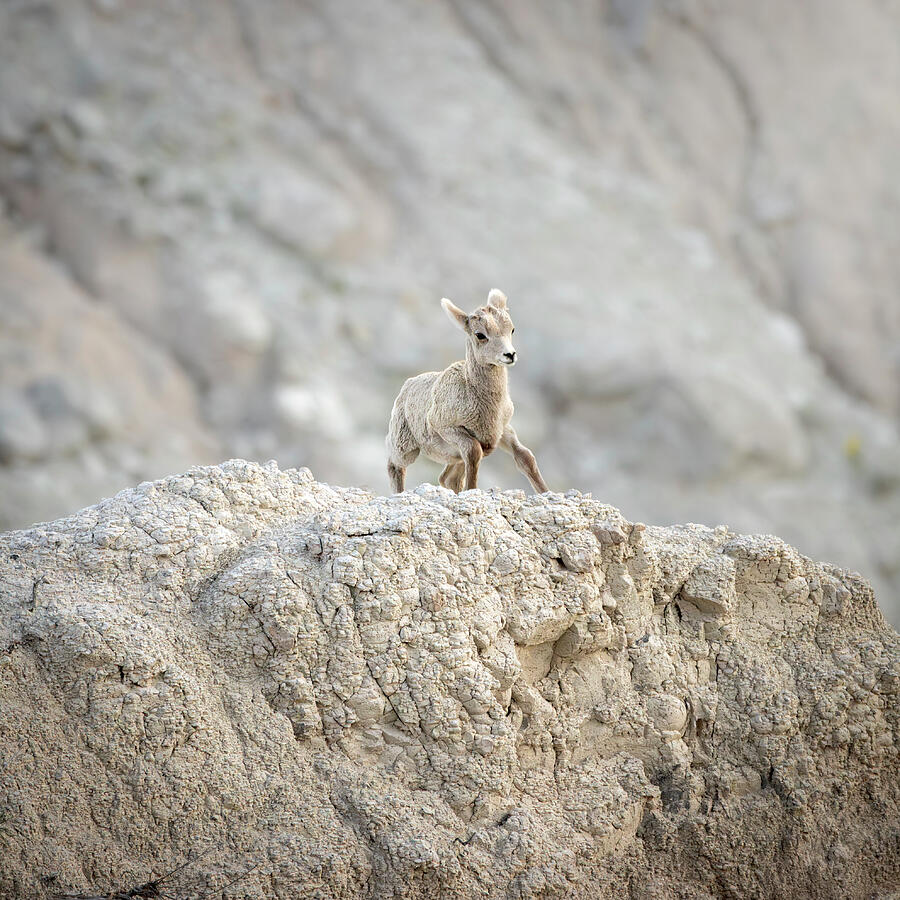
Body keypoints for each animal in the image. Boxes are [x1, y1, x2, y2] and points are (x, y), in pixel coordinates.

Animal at [386, 289, 548, 495]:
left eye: (512, 329)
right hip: (405, 446)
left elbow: (525, 456)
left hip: (453, 458)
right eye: (480, 334)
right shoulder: (450, 430)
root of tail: (407, 386)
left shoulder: (501, 430)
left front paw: (547, 493)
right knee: (395, 465)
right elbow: (474, 452)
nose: (510, 355)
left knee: (447, 479)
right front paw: (472, 490)